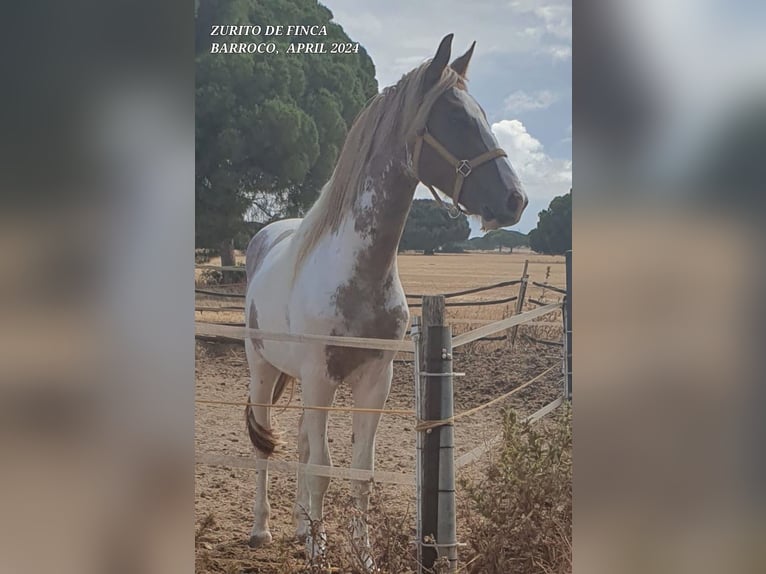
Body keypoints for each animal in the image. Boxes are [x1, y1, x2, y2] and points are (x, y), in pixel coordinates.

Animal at [244, 35, 528, 564]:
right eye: (455, 117)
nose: (514, 200)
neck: (357, 273)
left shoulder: (376, 379)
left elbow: (359, 470)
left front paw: (358, 554)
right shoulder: (321, 377)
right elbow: (323, 467)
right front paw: (318, 555)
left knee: (300, 445)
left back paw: (301, 526)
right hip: (263, 368)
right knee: (264, 445)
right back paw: (263, 529)